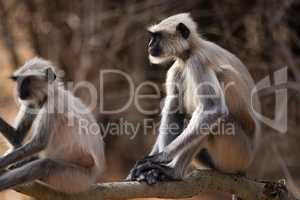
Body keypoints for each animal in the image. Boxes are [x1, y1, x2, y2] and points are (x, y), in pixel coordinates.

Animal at [0, 57, 105, 192]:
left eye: (27, 80)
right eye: (18, 80)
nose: (18, 91)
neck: (49, 95)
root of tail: (93, 177)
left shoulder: (53, 106)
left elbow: (39, 143)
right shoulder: (33, 104)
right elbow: (16, 136)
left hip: (76, 177)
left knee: (45, 165)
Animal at [127, 12, 262, 184]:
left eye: (156, 37)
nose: (149, 45)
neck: (190, 51)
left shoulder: (198, 61)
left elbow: (214, 109)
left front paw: (161, 157)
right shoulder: (177, 67)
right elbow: (174, 108)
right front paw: (146, 169)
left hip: (237, 154)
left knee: (214, 113)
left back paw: (174, 172)